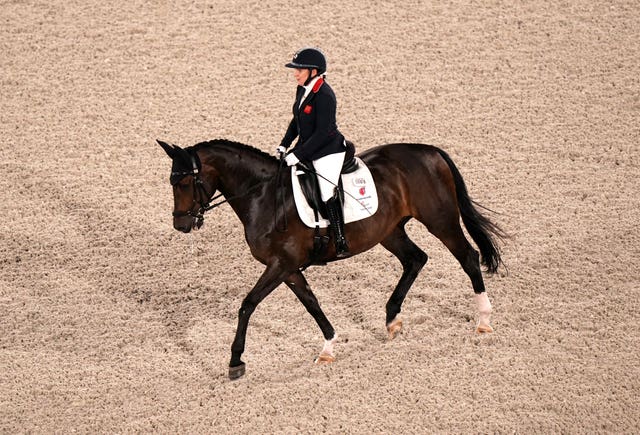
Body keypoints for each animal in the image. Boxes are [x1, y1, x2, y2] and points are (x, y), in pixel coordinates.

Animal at [156, 138, 504, 380]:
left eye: (184, 183)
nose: (180, 224)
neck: (263, 196)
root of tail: (430, 151)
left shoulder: (280, 265)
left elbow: (247, 304)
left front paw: (235, 361)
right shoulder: (288, 268)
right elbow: (312, 304)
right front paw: (328, 348)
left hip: (440, 221)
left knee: (468, 257)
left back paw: (484, 321)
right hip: (389, 231)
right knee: (416, 259)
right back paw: (392, 320)